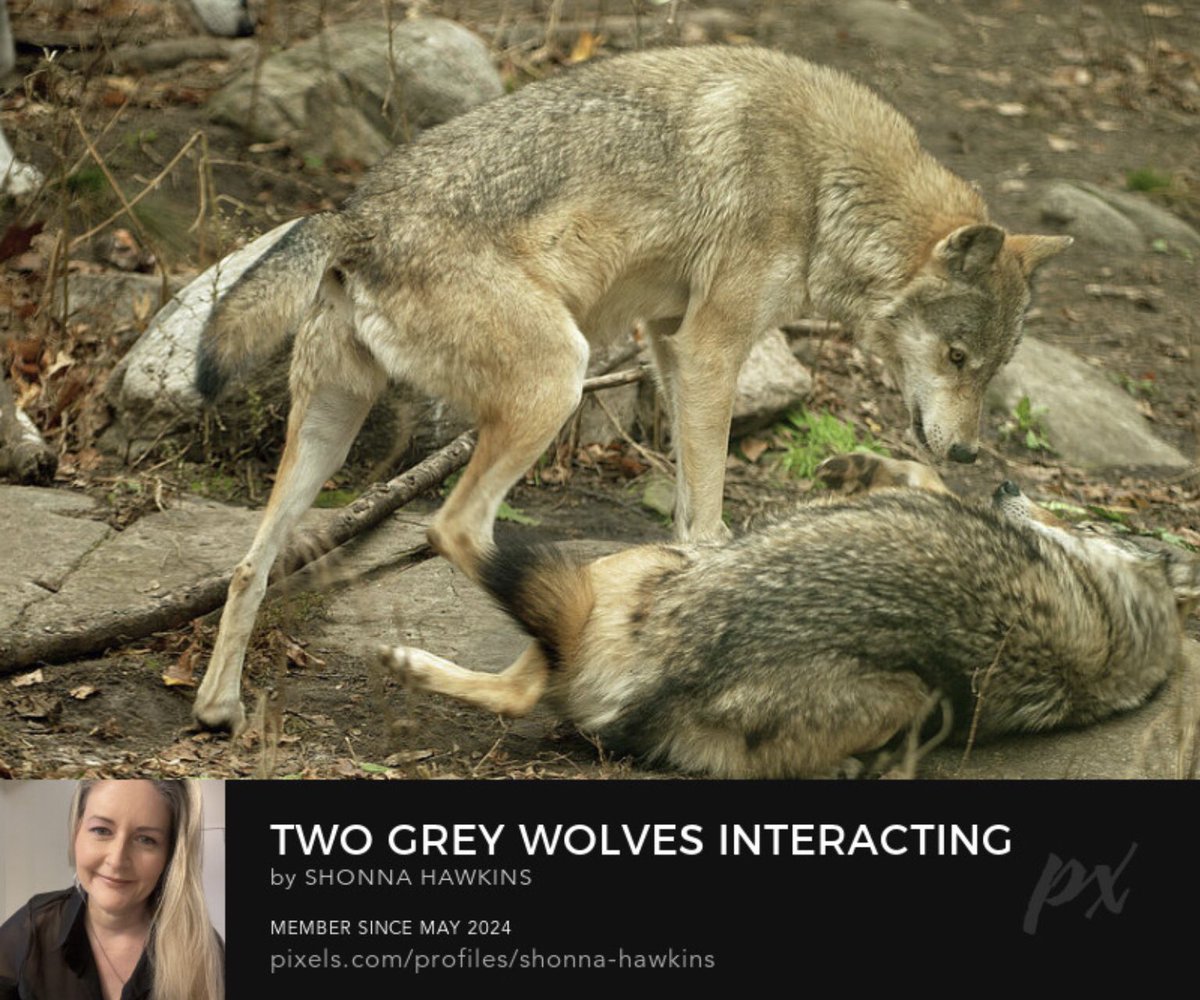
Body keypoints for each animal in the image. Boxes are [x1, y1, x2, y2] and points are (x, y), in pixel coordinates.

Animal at [193, 44, 1071, 730]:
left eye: (990, 367)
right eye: (956, 357)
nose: (968, 454)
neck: (825, 184)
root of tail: (355, 219)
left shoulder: (668, 342)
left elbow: (687, 504)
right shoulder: (712, 348)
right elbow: (709, 511)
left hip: (331, 429)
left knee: (250, 566)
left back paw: (218, 707)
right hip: (560, 381)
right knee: (453, 527)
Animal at [380, 453, 1200, 779]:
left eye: (1070, 515)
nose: (1005, 486)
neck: (1106, 624)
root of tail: (669, 662)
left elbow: (923, 472)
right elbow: (923, 467)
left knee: (515, 649)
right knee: (521, 679)